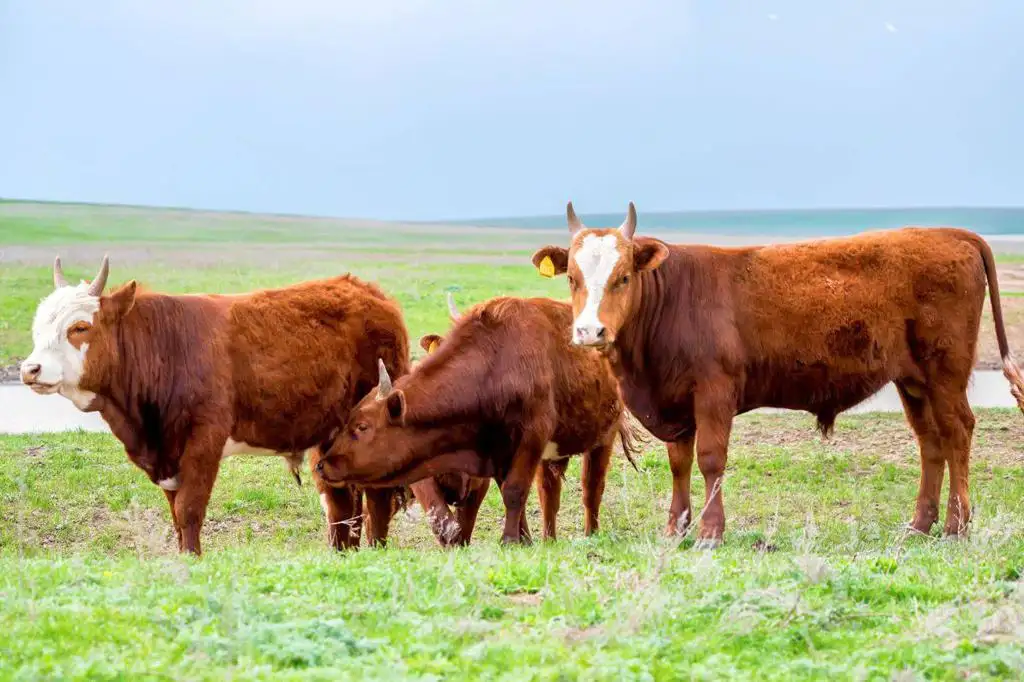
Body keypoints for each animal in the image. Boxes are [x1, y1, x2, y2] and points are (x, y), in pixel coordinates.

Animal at [20, 256, 411, 555]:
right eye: (37, 329)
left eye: (79, 327)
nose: (29, 369)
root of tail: (371, 293)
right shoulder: (168, 455)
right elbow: (176, 514)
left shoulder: (203, 441)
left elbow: (189, 510)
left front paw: (193, 559)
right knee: (341, 501)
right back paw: (343, 554)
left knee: (377, 499)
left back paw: (376, 552)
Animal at [315, 294, 642, 544]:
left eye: (362, 426)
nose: (322, 464)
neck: (496, 363)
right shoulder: (496, 450)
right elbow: (511, 493)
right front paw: (523, 539)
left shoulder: (531, 437)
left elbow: (514, 491)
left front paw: (509, 540)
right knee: (549, 493)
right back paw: (549, 540)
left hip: (603, 439)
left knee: (592, 488)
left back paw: (591, 534)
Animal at [529, 202, 1024, 548]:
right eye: (572, 278)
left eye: (624, 277)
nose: (590, 331)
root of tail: (954, 234)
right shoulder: (675, 403)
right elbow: (679, 464)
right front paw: (675, 528)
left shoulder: (714, 393)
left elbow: (711, 459)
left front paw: (710, 532)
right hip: (914, 383)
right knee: (931, 443)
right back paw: (920, 526)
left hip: (945, 374)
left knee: (958, 433)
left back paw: (957, 525)